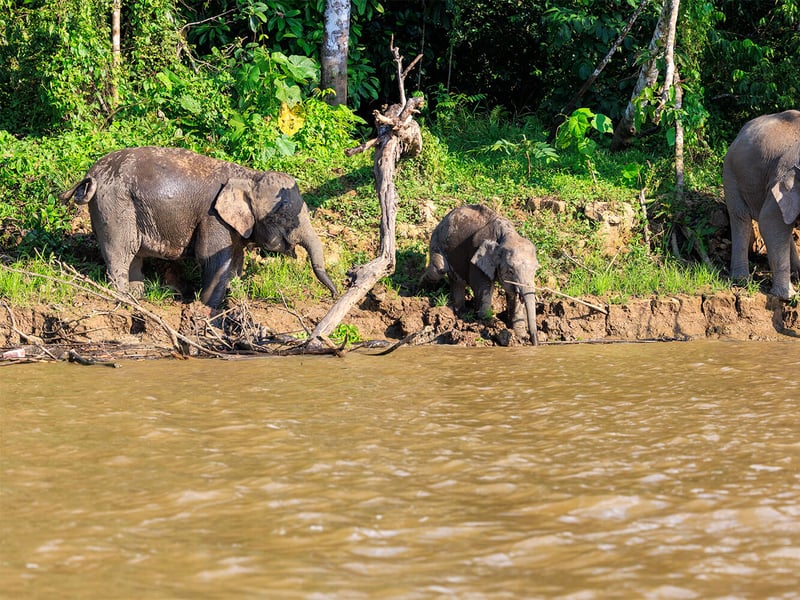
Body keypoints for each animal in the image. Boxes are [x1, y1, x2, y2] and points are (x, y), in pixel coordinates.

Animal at [59, 146, 338, 308]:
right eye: (281, 215)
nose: (335, 294)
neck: (249, 175)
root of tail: (91, 174)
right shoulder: (213, 217)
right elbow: (212, 259)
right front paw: (207, 307)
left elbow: (235, 262)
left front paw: (235, 297)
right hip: (115, 207)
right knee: (121, 251)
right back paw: (126, 299)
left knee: (133, 255)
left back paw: (139, 295)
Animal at [419, 204, 540, 345]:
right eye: (510, 271)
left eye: (535, 270)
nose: (534, 342)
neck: (507, 234)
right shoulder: (476, 257)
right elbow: (483, 288)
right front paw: (486, 322)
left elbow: (512, 293)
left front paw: (519, 335)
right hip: (437, 239)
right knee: (438, 270)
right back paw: (419, 291)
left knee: (457, 281)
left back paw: (460, 312)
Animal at [723, 110, 800, 299]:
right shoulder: (780, 179)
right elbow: (768, 222)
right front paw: (788, 296)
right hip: (730, 173)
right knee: (740, 218)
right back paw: (741, 280)